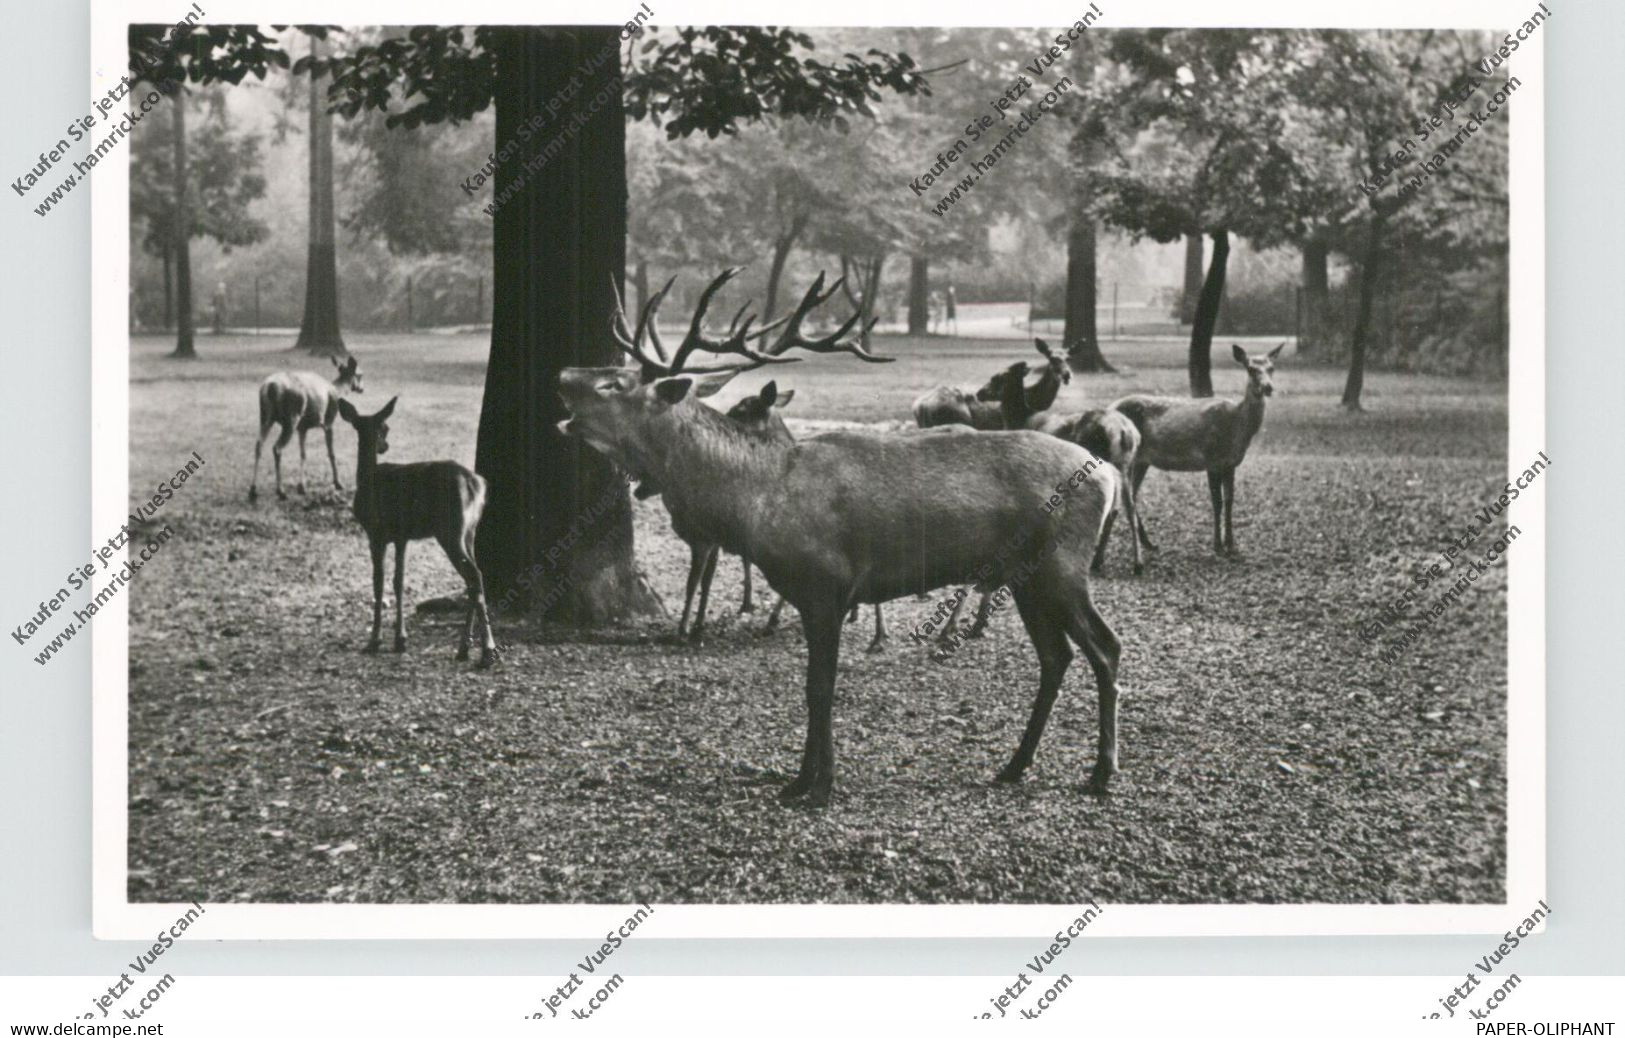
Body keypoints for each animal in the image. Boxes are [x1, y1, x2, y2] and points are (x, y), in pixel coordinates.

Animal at [250, 355, 362, 506]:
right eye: (360, 374)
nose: (361, 389)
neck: (337, 391)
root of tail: (269, 387)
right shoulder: (328, 421)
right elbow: (331, 453)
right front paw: (338, 483)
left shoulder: (302, 428)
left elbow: (303, 454)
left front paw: (301, 487)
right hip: (292, 417)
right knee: (277, 448)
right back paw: (281, 491)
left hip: (265, 417)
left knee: (258, 445)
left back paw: (253, 490)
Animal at [336, 393, 494, 669]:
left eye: (385, 427)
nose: (384, 446)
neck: (365, 477)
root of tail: (477, 484)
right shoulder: (402, 537)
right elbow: (399, 580)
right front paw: (400, 639)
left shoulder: (375, 532)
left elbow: (378, 581)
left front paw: (374, 641)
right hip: (470, 533)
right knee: (475, 579)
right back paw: (464, 649)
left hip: (451, 530)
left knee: (474, 576)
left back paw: (486, 651)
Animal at [565, 268, 1124, 805]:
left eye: (615, 383)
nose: (562, 373)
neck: (757, 500)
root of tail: (1108, 473)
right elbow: (814, 687)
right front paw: (799, 782)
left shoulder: (826, 583)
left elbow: (820, 688)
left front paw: (817, 787)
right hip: (1027, 577)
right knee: (1056, 657)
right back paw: (1014, 766)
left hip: (1063, 565)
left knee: (1106, 646)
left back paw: (1101, 772)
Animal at [1105, 342, 1280, 558]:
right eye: (1250, 369)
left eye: (1271, 368)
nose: (1268, 387)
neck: (1237, 427)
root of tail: (1108, 407)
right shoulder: (1212, 459)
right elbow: (1217, 502)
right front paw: (1218, 546)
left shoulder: (1230, 463)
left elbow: (1230, 501)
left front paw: (1232, 546)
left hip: (1141, 461)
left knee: (1131, 495)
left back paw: (1149, 543)